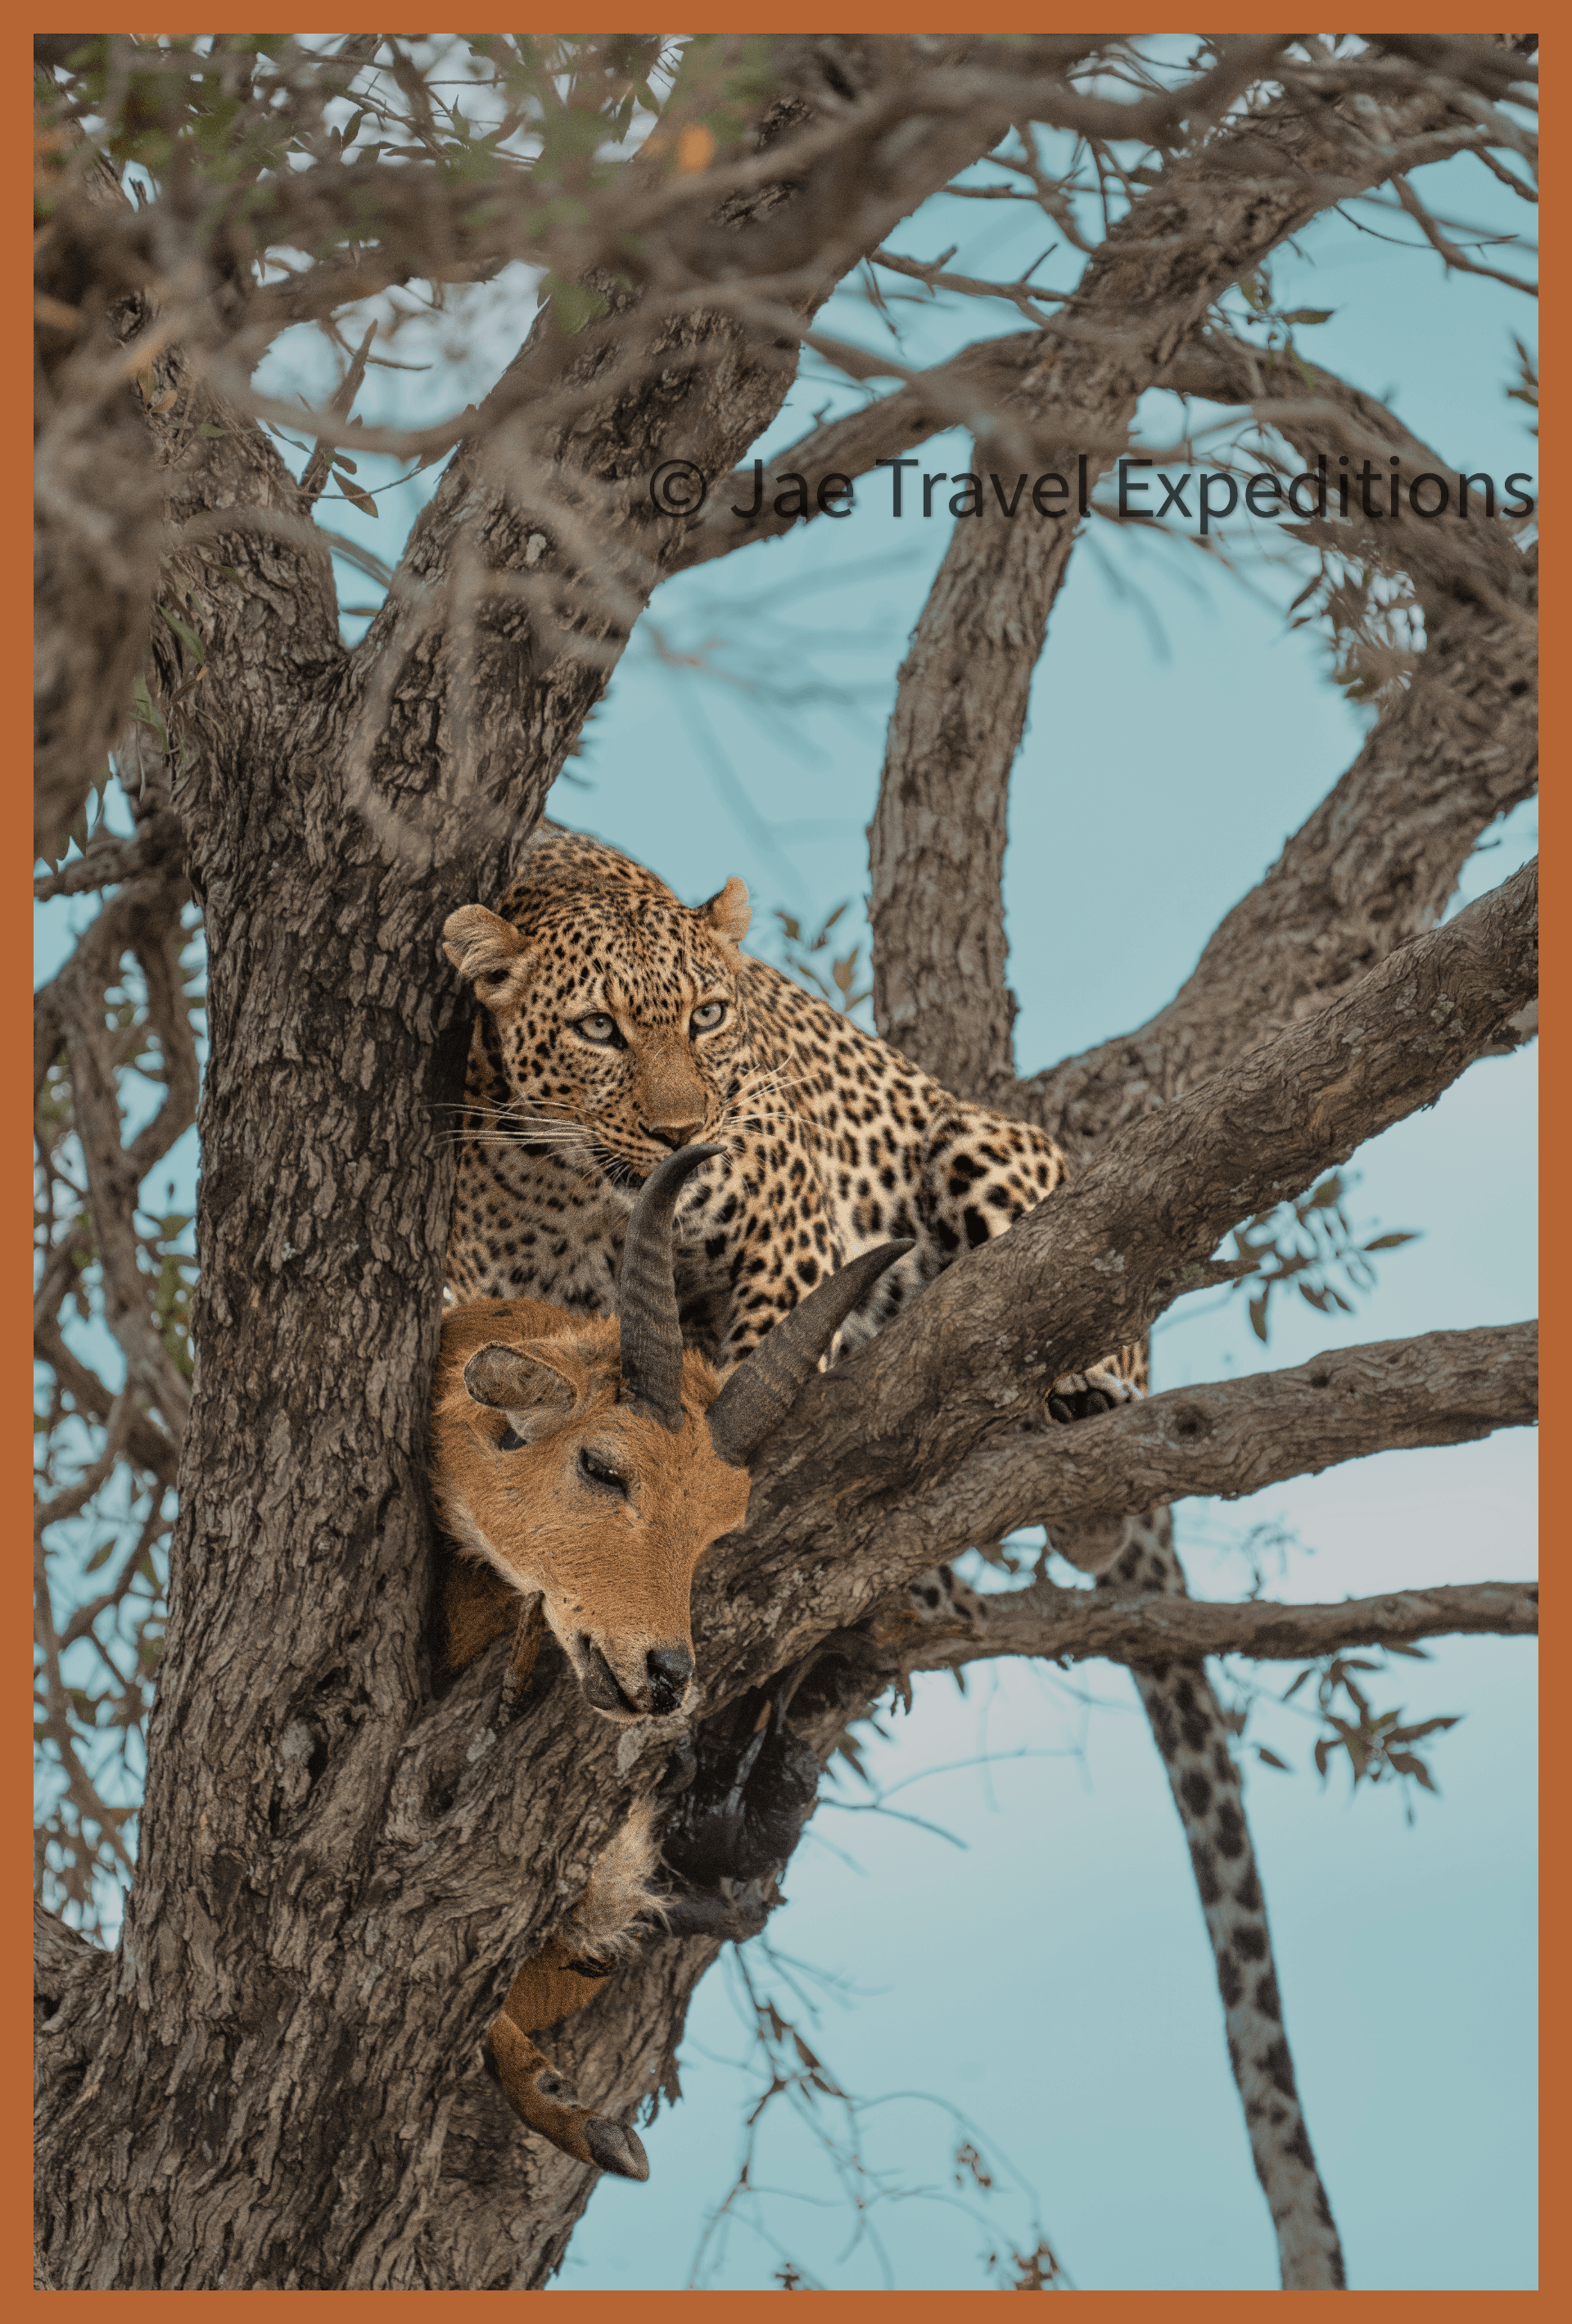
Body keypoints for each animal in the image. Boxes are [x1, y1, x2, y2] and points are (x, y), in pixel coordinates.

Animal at [442, 822, 1142, 1414]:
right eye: (597, 1029)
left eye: (708, 1016)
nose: (682, 1135)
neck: (581, 1196)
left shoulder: (790, 1227)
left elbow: (763, 1352)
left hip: (974, 1145)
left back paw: (1085, 1387)